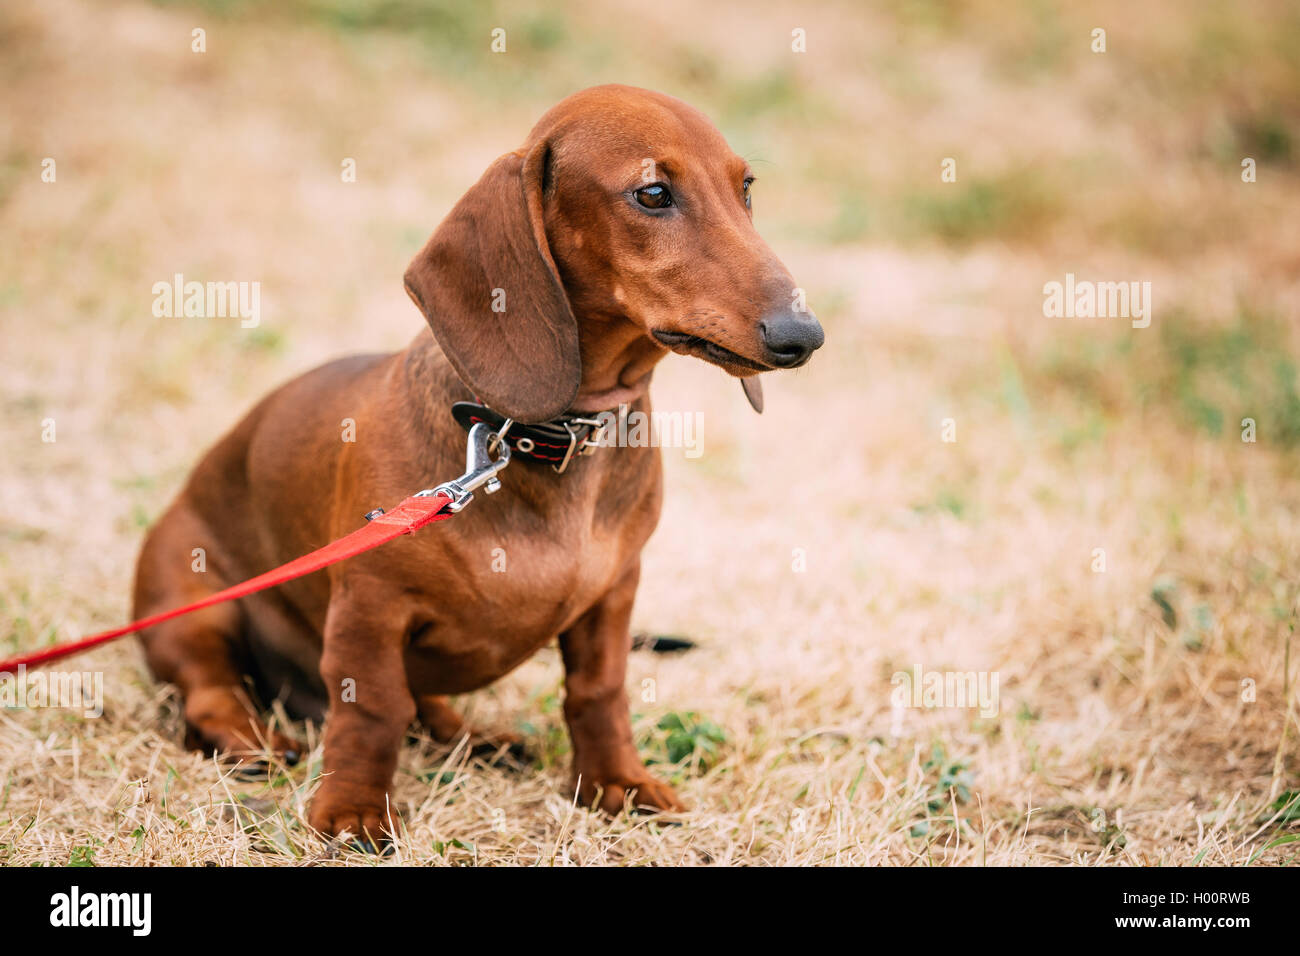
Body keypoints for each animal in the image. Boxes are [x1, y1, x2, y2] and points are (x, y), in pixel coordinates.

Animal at [131, 83, 821, 842]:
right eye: (652, 194)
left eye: (746, 188)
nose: (804, 335)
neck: (548, 436)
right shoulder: (370, 610)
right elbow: (373, 709)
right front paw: (353, 810)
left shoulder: (613, 596)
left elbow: (599, 691)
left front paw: (618, 784)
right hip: (190, 603)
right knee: (212, 692)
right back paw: (255, 741)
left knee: (424, 707)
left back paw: (478, 738)